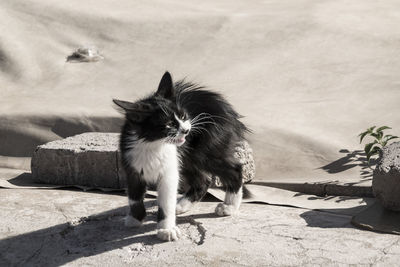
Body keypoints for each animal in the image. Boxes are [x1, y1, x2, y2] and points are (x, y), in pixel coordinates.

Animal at [113, 71, 250, 243]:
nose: (186, 130)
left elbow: (166, 201)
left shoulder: (169, 171)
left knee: (234, 170)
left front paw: (166, 229)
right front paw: (135, 218)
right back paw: (181, 206)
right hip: (187, 158)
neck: (152, 144)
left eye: (183, 116)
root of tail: (224, 107)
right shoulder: (132, 166)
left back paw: (229, 206)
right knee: (202, 180)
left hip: (206, 151)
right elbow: (134, 196)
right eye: (169, 125)